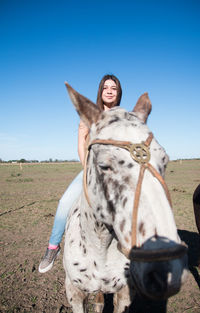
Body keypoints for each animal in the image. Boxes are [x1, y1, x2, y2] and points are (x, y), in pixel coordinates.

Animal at [62, 83, 188, 312]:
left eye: (164, 160)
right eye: (104, 165)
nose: (165, 272)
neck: (100, 249)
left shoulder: (124, 294)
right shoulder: (74, 293)